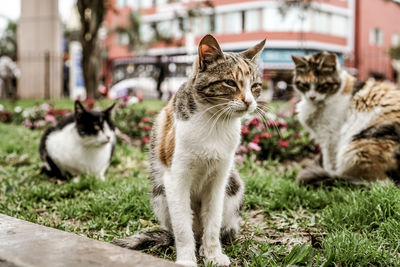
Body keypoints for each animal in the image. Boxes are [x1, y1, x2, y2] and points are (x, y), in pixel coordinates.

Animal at [113, 35, 266, 267]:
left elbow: (213, 222)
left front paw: (213, 254)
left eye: (255, 85)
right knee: (185, 230)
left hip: (234, 186)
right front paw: (186, 259)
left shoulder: (219, 179)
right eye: (230, 82)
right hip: (160, 193)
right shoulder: (176, 178)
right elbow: (183, 227)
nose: (249, 101)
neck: (215, 123)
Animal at [290, 51, 400, 186]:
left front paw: (328, 172)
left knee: (380, 182)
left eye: (322, 86)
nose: (312, 97)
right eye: (304, 85)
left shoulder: (330, 137)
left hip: (356, 148)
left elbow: (329, 162)